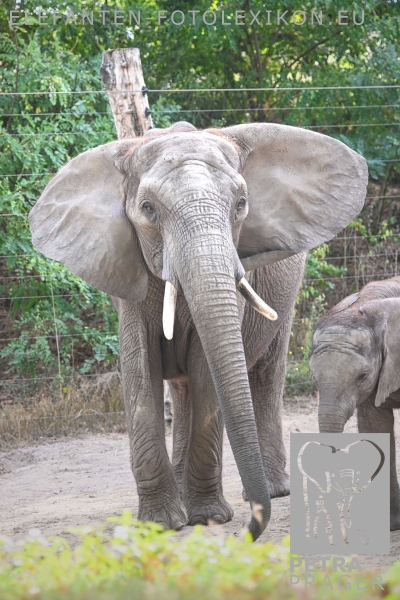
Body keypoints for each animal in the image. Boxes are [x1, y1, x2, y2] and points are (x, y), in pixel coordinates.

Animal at [29, 120, 367, 540]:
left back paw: (272, 491)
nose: (250, 531)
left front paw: (208, 518)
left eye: (241, 204)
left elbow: (207, 369)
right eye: (148, 209)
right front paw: (160, 524)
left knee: (265, 373)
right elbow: (140, 368)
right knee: (182, 389)